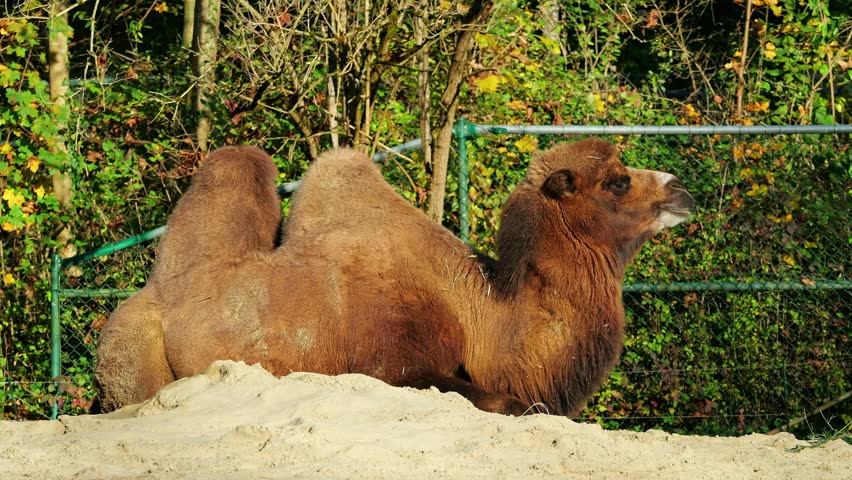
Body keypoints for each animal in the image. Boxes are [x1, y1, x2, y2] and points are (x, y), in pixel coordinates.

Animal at [95, 138, 694, 416]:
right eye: (616, 182)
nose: (680, 187)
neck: (487, 316)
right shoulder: (395, 364)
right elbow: (509, 404)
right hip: (130, 358)